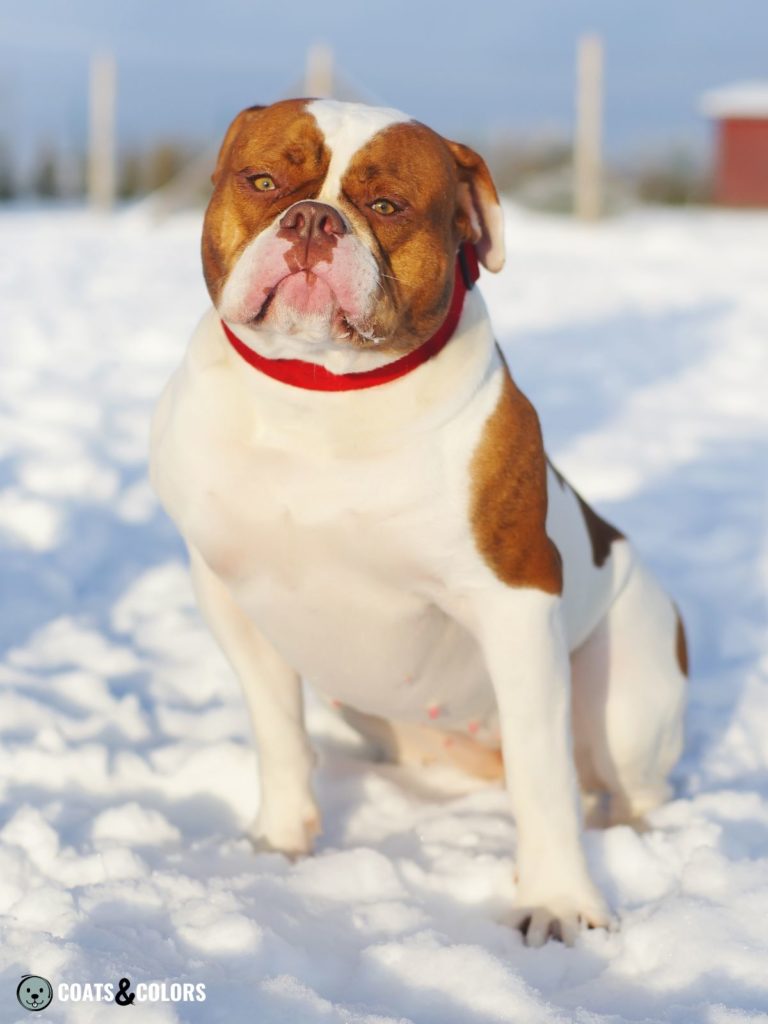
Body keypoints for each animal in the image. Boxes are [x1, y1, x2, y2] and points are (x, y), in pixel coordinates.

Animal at [148, 99, 684, 946]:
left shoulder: (516, 603)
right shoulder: (228, 593)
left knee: (624, 785)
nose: (312, 220)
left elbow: (543, 774)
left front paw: (560, 900)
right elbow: (277, 730)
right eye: (262, 182)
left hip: (628, 692)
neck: (317, 393)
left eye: (388, 205)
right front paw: (280, 841)